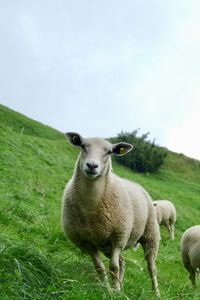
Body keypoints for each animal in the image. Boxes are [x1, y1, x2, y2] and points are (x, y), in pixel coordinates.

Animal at [61, 132, 160, 296]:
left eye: (109, 152)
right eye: (83, 146)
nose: (92, 166)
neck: (91, 206)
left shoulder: (118, 237)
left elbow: (113, 267)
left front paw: (113, 292)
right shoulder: (87, 243)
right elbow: (100, 267)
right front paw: (107, 290)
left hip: (150, 235)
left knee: (151, 267)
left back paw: (156, 293)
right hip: (106, 245)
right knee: (123, 262)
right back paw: (120, 287)